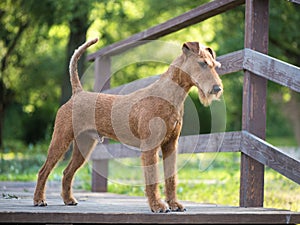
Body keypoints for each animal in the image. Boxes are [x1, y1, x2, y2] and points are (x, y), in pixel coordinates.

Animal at [34, 38, 223, 213]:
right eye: (202, 63)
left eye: (214, 65)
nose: (217, 88)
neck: (169, 96)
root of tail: (77, 93)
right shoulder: (150, 147)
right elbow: (152, 179)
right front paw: (157, 206)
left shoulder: (170, 145)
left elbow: (171, 179)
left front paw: (174, 204)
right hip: (61, 139)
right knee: (44, 171)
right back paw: (39, 200)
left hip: (84, 146)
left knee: (67, 172)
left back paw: (68, 200)